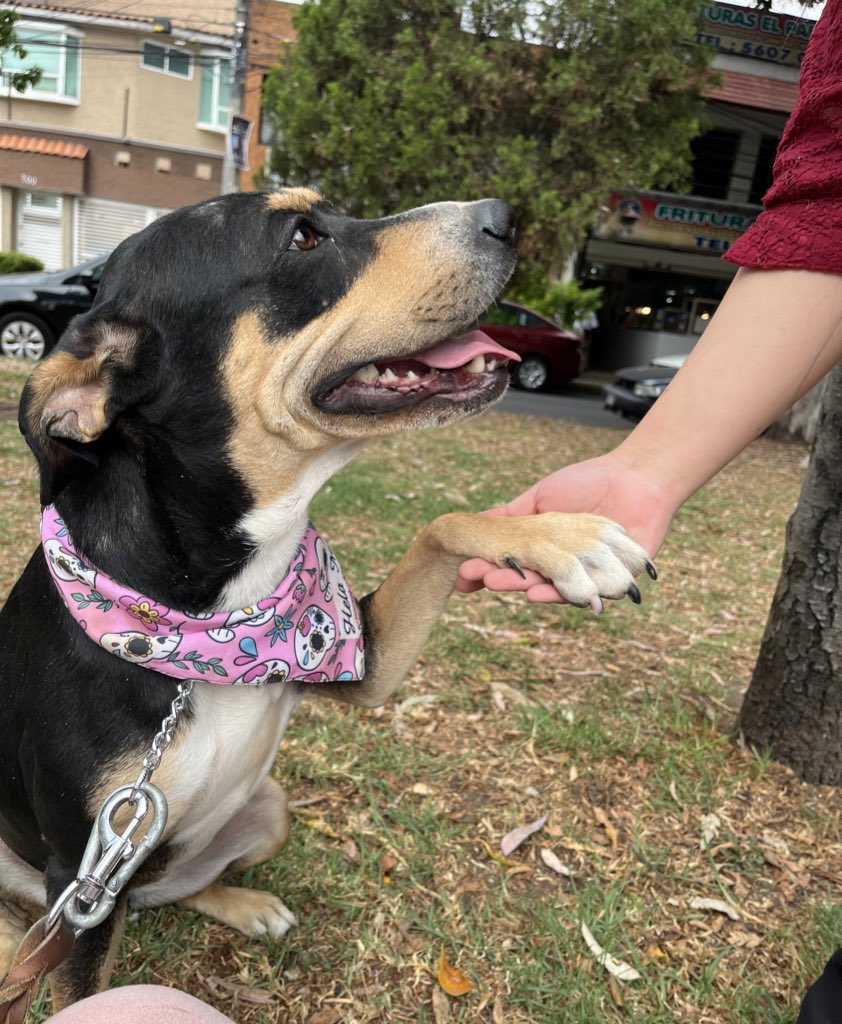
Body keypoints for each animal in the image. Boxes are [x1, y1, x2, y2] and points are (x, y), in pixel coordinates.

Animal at [0, 190, 651, 1007]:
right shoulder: (81, 876)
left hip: (266, 810)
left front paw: (563, 539)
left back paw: (245, 905)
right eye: (303, 237)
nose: (503, 215)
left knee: (177, 888)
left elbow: (441, 525)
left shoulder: (361, 665)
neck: (212, 616)